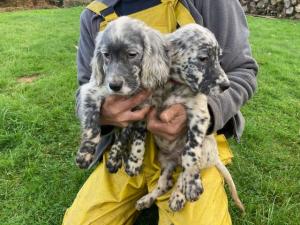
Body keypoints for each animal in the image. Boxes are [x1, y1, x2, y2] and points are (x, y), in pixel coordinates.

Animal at [136, 24, 244, 213]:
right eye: (203, 58)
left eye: (219, 58)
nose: (226, 86)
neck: (173, 86)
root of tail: (215, 157)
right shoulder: (146, 104)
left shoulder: (199, 114)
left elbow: (190, 151)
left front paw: (192, 186)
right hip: (165, 160)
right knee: (164, 183)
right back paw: (147, 199)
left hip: (204, 150)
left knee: (183, 175)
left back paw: (178, 196)